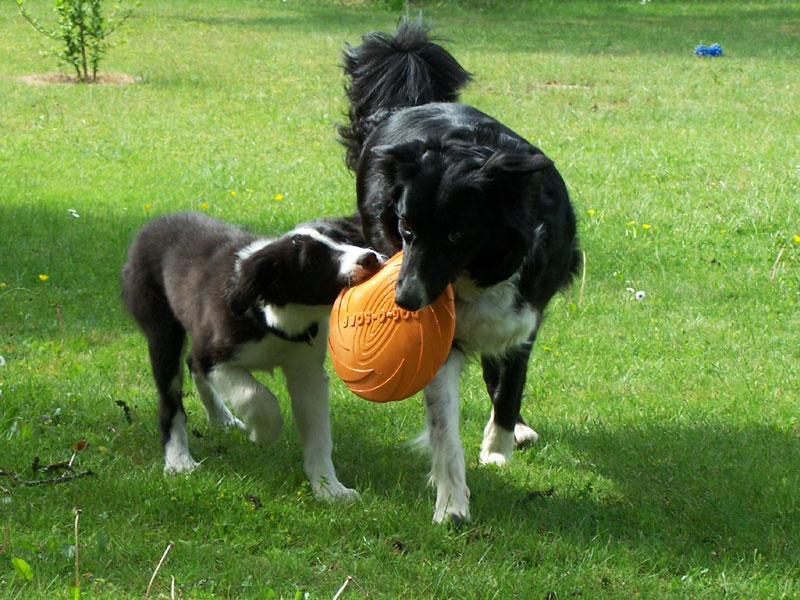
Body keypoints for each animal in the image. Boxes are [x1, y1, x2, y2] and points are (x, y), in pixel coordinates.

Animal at [120, 213, 382, 500]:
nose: (370, 258)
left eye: (343, 238)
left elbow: (318, 436)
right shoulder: (213, 356)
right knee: (171, 399)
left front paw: (330, 489)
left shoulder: (307, 371)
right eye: (314, 259)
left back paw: (221, 418)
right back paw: (179, 460)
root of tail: (156, 221)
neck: (275, 316)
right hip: (162, 328)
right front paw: (263, 434)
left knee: (190, 363)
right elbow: (255, 395)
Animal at [340, 21, 580, 524]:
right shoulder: (440, 330)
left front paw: (499, 444)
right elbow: (443, 426)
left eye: (454, 236)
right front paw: (452, 502)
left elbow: (510, 382)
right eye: (406, 228)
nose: (405, 300)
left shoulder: (526, 311)